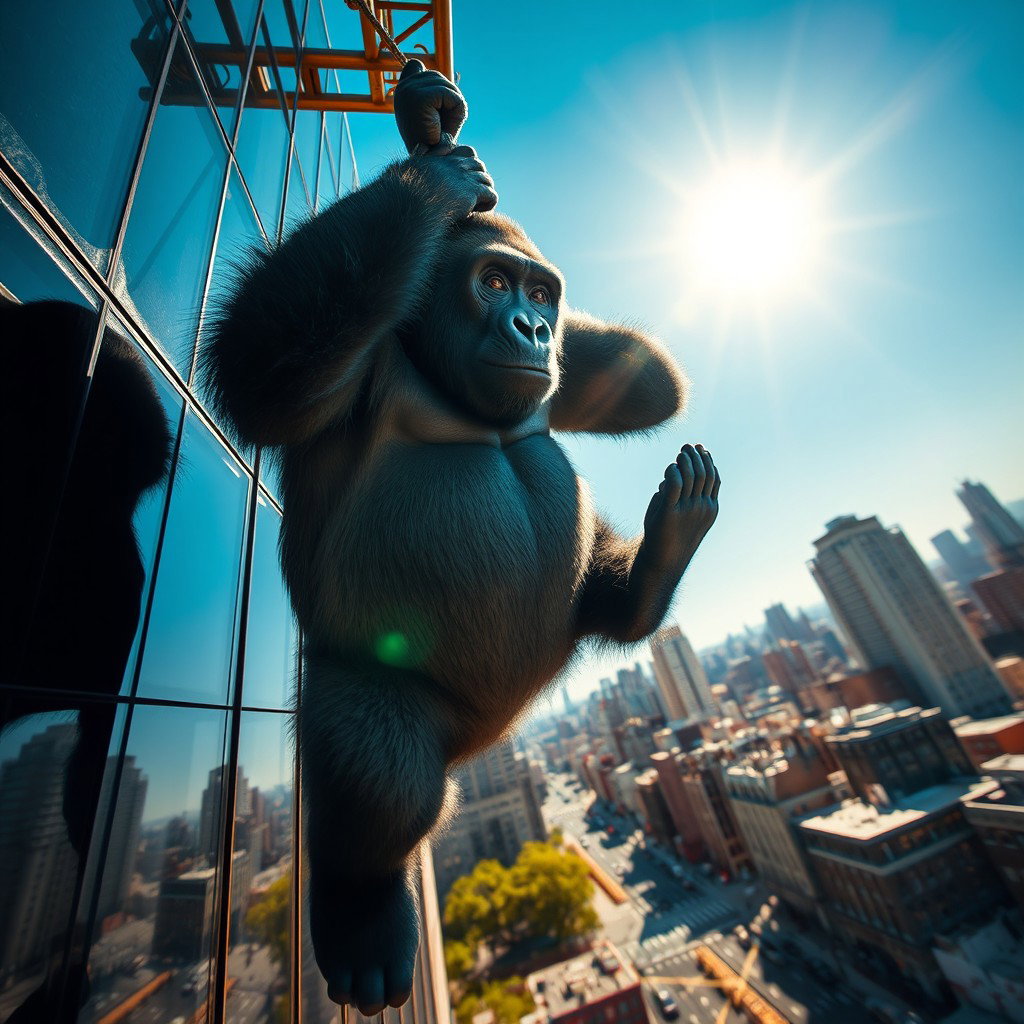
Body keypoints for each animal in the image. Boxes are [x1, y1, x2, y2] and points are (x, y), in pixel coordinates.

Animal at [202, 60, 720, 1017]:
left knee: (593, 598)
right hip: (371, 686)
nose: (534, 328)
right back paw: (364, 908)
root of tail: (489, 740)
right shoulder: (354, 357)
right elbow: (261, 367)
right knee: (380, 762)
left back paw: (651, 576)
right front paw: (429, 167)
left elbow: (648, 383)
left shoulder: (562, 376)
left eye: (541, 292)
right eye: (493, 285)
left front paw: (432, 135)